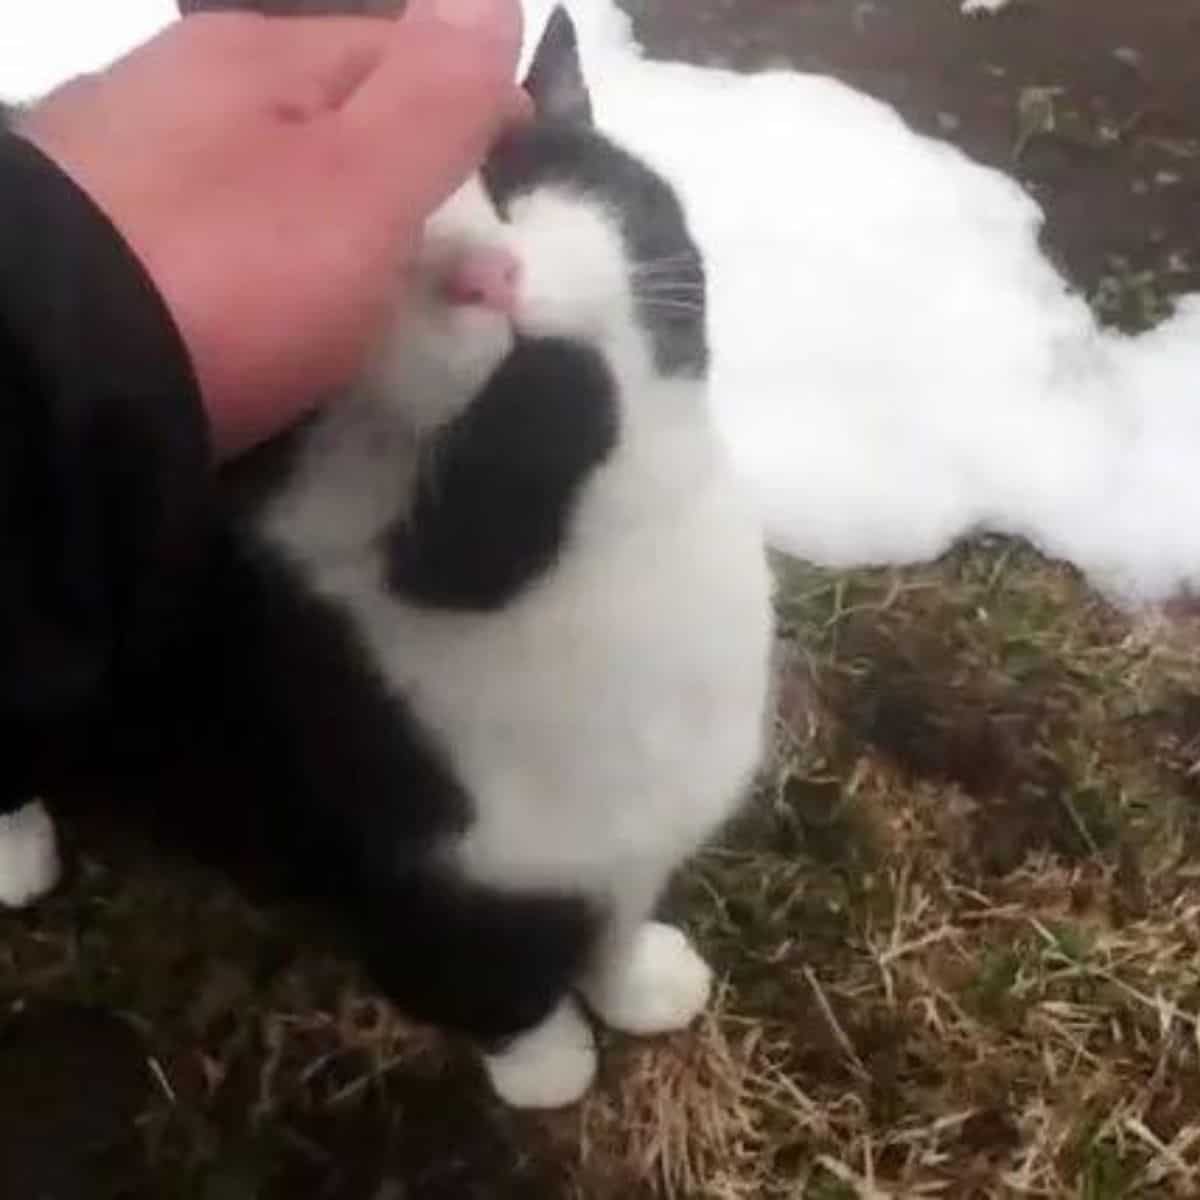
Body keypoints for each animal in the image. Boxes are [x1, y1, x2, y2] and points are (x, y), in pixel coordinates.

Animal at [0, 9, 768, 1108]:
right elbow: (493, 989)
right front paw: (549, 1065)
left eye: (504, 177)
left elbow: (619, 913)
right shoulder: (420, 879)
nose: (480, 276)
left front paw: (640, 982)